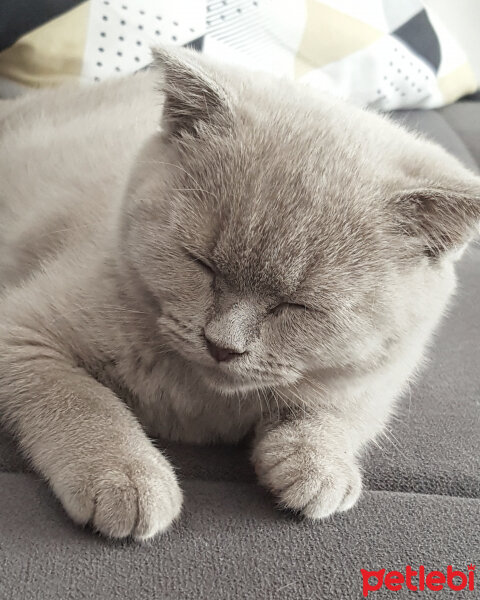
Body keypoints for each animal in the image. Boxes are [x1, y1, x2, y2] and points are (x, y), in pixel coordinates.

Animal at [0, 47, 478, 540]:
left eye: (297, 305)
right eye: (200, 263)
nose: (222, 345)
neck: (203, 402)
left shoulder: (381, 377)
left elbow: (345, 414)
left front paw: (318, 464)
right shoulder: (21, 330)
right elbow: (81, 399)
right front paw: (127, 476)